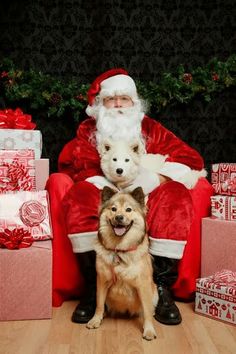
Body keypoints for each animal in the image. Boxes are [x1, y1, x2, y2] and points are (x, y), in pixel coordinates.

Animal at [85, 187, 158, 342]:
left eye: (128, 210)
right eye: (113, 209)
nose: (119, 217)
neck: (119, 250)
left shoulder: (143, 285)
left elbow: (147, 310)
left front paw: (149, 329)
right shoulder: (102, 281)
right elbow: (99, 304)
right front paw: (96, 319)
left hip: (154, 291)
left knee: (148, 308)